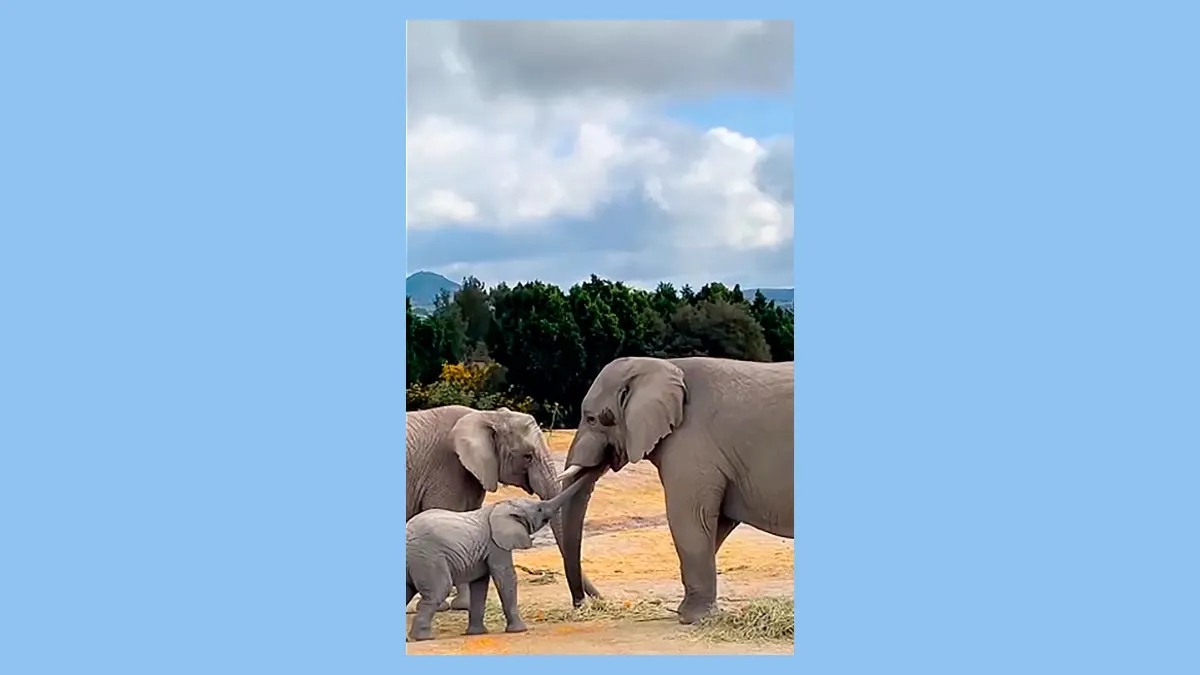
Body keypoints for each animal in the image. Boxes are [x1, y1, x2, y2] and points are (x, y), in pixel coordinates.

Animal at [405, 405, 600, 612]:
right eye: (528, 456)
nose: (593, 601)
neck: (487, 416)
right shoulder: (446, 469)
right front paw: (454, 605)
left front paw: (461, 604)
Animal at [405, 474, 591, 641]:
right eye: (539, 509)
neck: (502, 506)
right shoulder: (496, 545)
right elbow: (505, 577)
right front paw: (520, 630)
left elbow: (480, 584)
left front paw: (477, 633)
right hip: (428, 558)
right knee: (439, 590)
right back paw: (424, 638)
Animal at [556, 356, 794, 624]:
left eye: (592, 419)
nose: (582, 605)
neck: (662, 364)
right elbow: (716, 525)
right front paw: (690, 612)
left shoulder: (691, 445)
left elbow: (691, 518)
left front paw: (692, 618)